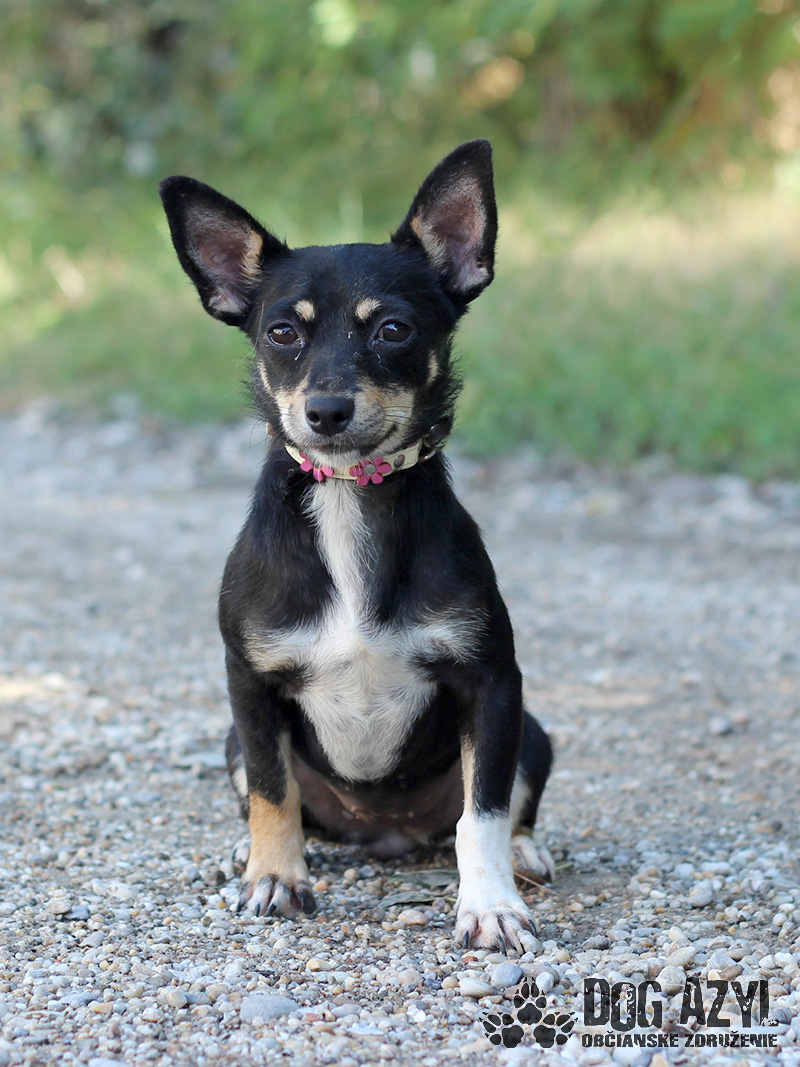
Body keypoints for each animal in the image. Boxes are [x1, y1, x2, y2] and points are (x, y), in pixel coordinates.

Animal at [159, 140, 553, 952]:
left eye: (393, 329)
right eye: (282, 333)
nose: (327, 409)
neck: (351, 497)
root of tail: (384, 833)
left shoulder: (492, 684)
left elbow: (485, 813)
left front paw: (491, 904)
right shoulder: (249, 686)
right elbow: (273, 792)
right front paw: (275, 877)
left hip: (532, 731)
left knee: (503, 807)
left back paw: (526, 852)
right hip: (232, 740)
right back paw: (250, 850)